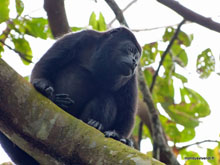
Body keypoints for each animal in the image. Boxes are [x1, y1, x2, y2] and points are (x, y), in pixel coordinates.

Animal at [0, 27, 142, 164]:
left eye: (137, 57)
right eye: (130, 50)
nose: (135, 62)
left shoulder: (132, 77)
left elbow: (127, 111)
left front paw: (119, 136)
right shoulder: (80, 38)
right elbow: (46, 63)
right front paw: (42, 85)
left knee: (106, 98)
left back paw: (95, 123)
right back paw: (56, 101)